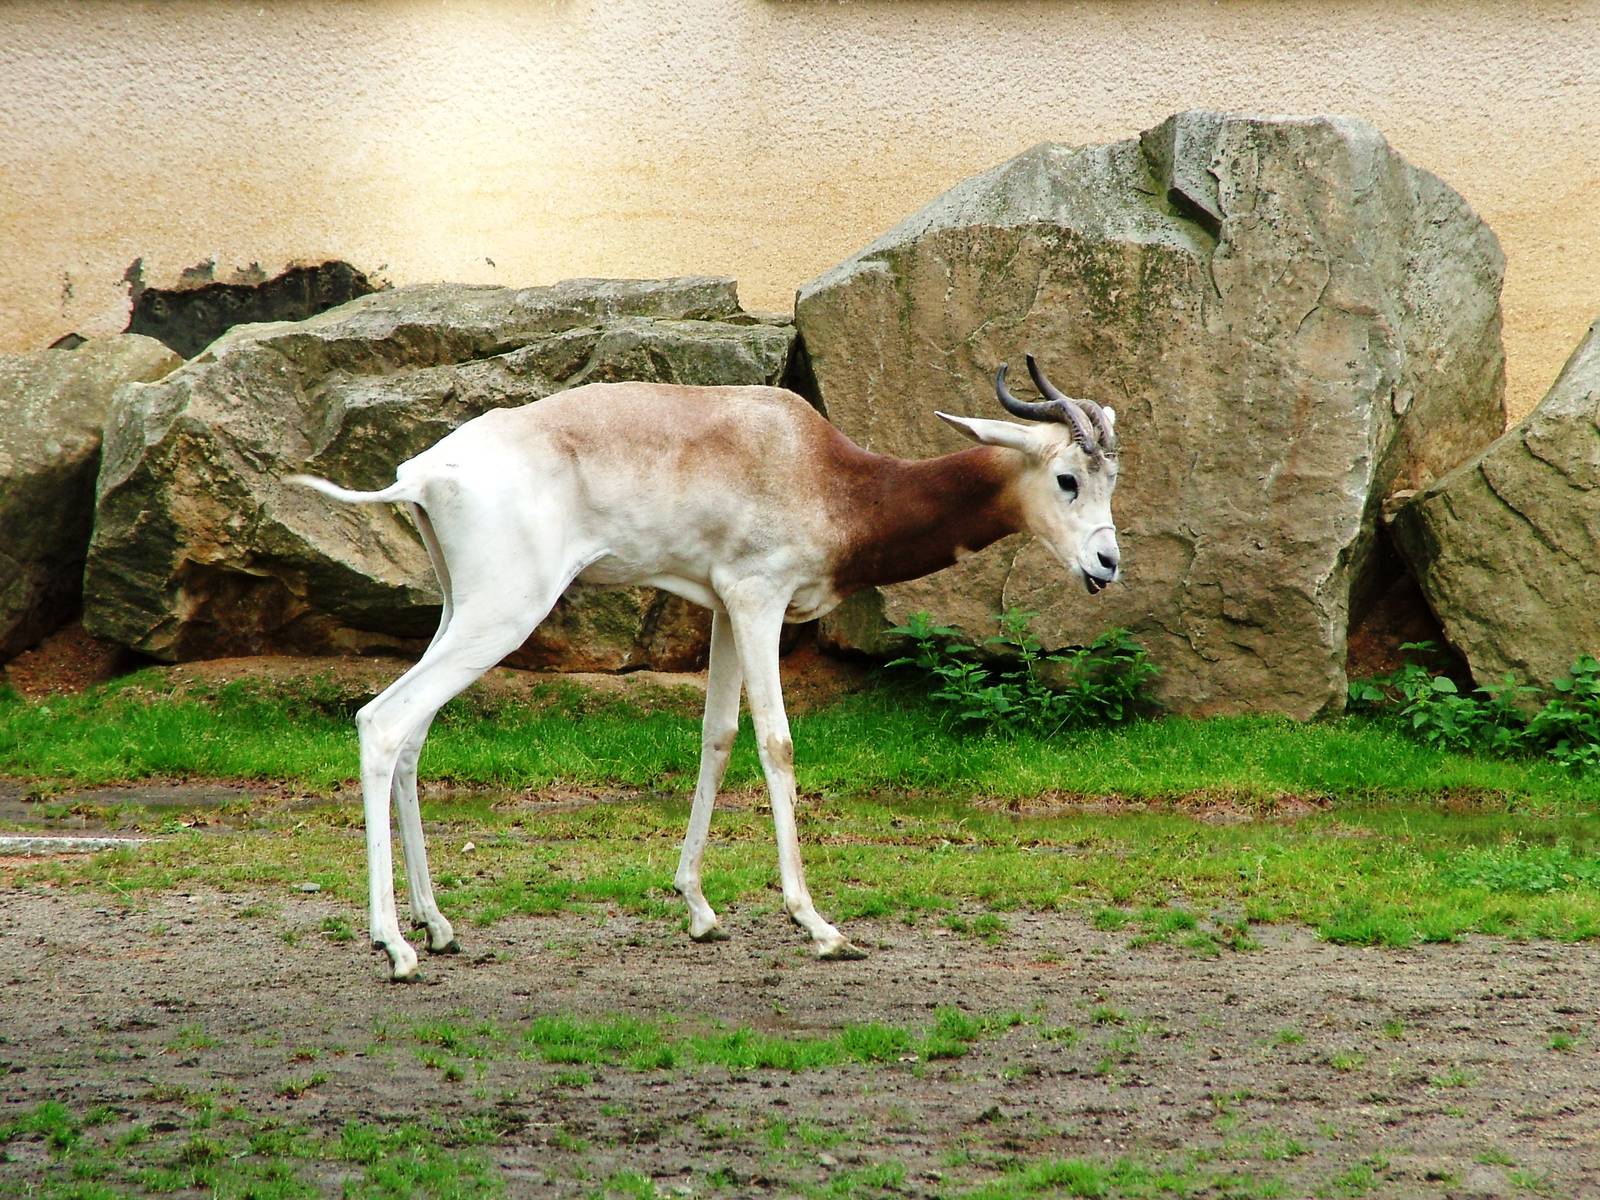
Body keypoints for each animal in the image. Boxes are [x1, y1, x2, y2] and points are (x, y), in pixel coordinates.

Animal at [292, 355, 1120, 979]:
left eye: (1113, 478)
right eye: (1068, 479)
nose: (1107, 564)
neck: (827, 477)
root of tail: (423, 474)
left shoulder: (722, 607)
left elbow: (716, 736)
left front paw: (697, 908)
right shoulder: (759, 600)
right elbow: (776, 744)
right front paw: (816, 924)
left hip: (460, 614)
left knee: (413, 738)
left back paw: (436, 926)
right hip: (503, 614)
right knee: (383, 721)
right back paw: (394, 946)